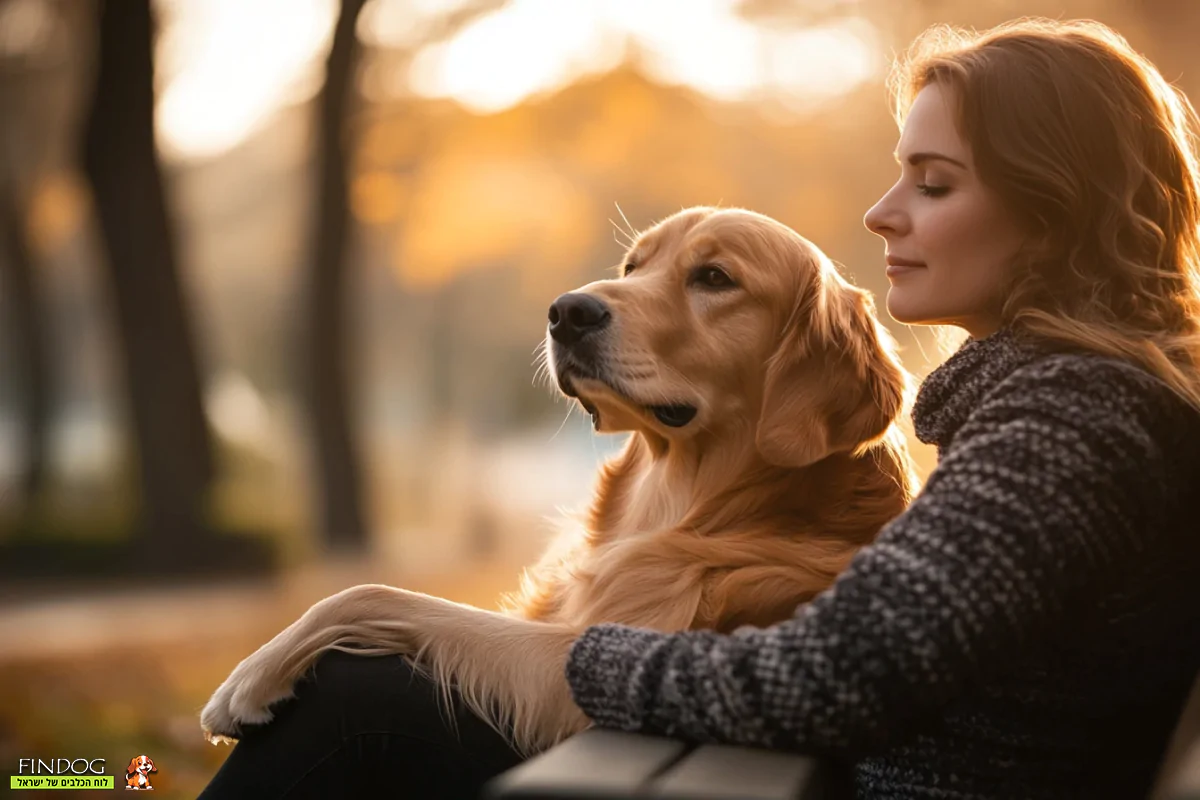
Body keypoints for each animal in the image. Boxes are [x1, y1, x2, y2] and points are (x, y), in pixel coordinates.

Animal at [201, 205, 916, 758]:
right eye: (633, 267)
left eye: (715, 278)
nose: (567, 311)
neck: (692, 500)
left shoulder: (571, 671)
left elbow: (373, 592)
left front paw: (249, 679)